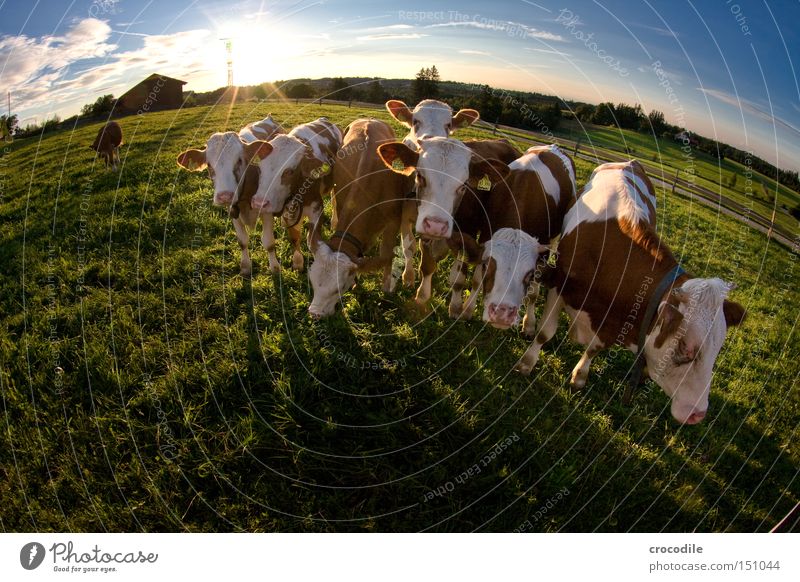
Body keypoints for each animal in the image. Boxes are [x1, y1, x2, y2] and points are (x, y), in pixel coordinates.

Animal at [178, 117, 288, 278]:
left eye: (240, 160)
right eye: (209, 165)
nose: (224, 195)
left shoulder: (266, 209)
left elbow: (268, 242)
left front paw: (275, 268)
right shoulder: (232, 210)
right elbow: (242, 241)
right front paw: (245, 267)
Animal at [244, 119, 344, 274]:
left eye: (289, 171)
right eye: (260, 168)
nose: (259, 203)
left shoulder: (317, 209)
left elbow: (312, 241)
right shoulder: (289, 212)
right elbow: (295, 237)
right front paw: (297, 262)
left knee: (334, 202)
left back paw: (334, 222)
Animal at [306, 119, 416, 320]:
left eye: (339, 288)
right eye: (312, 280)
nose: (315, 314)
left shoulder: (394, 221)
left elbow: (387, 252)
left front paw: (387, 286)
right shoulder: (344, 203)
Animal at [516, 162, 748, 426]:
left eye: (718, 349)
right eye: (685, 347)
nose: (698, 414)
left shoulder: (615, 323)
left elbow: (594, 348)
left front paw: (579, 376)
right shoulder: (559, 286)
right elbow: (545, 332)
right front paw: (527, 363)